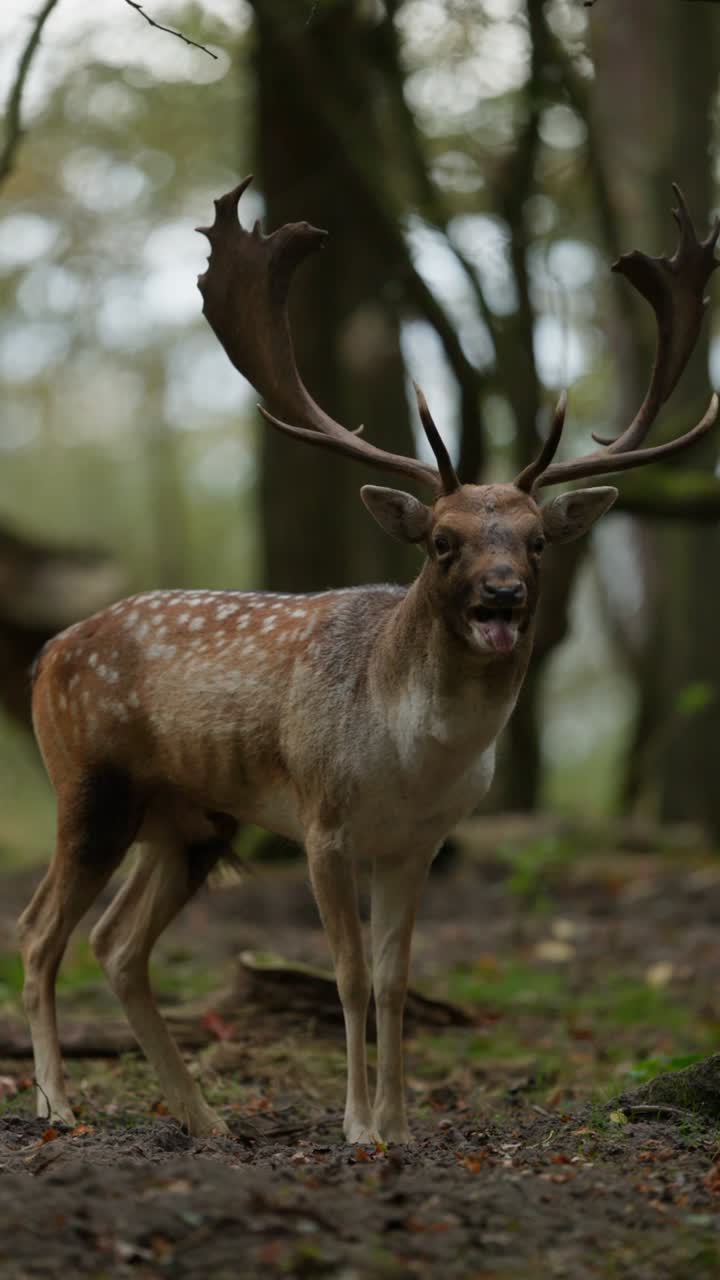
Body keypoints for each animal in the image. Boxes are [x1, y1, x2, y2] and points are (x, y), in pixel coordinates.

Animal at [18, 181, 718, 1145]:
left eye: (537, 542)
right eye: (441, 541)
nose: (502, 596)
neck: (411, 762)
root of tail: (48, 651)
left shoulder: (420, 842)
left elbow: (395, 977)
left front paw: (400, 1123)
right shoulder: (323, 821)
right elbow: (347, 975)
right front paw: (355, 1125)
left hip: (191, 819)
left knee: (116, 944)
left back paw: (205, 1118)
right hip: (89, 783)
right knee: (39, 930)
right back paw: (58, 1102)